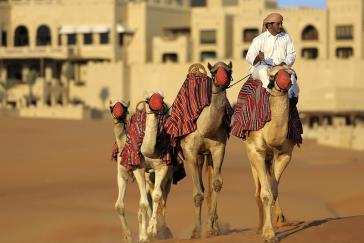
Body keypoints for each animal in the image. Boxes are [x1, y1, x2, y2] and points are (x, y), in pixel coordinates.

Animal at [175, 61, 232, 237]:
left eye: (229, 70)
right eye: (213, 72)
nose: (223, 80)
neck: (204, 127)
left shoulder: (218, 148)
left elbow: (217, 184)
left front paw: (212, 228)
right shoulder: (191, 152)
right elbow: (198, 194)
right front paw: (196, 231)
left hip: (207, 155)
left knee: (209, 186)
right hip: (197, 156)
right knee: (200, 187)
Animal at [242, 67, 298, 243]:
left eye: (292, 73)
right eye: (272, 75)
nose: (285, 82)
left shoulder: (285, 154)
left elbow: (273, 192)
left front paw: (272, 230)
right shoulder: (256, 151)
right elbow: (265, 194)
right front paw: (267, 233)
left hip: (269, 158)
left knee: (272, 181)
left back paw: (281, 219)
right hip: (251, 156)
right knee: (258, 190)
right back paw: (259, 227)